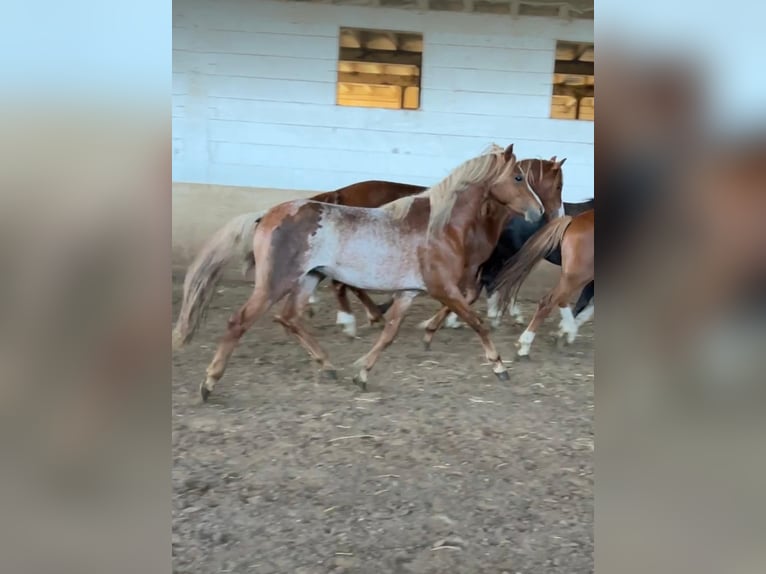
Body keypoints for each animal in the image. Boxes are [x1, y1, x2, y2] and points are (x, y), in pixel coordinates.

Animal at [174, 144, 545, 401]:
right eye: (518, 177)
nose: (538, 212)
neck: (440, 226)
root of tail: (267, 214)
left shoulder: (409, 293)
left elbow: (390, 333)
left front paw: (362, 374)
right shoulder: (443, 289)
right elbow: (478, 321)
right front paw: (499, 366)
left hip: (308, 278)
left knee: (290, 318)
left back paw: (328, 366)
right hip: (275, 282)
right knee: (240, 322)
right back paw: (209, 383)